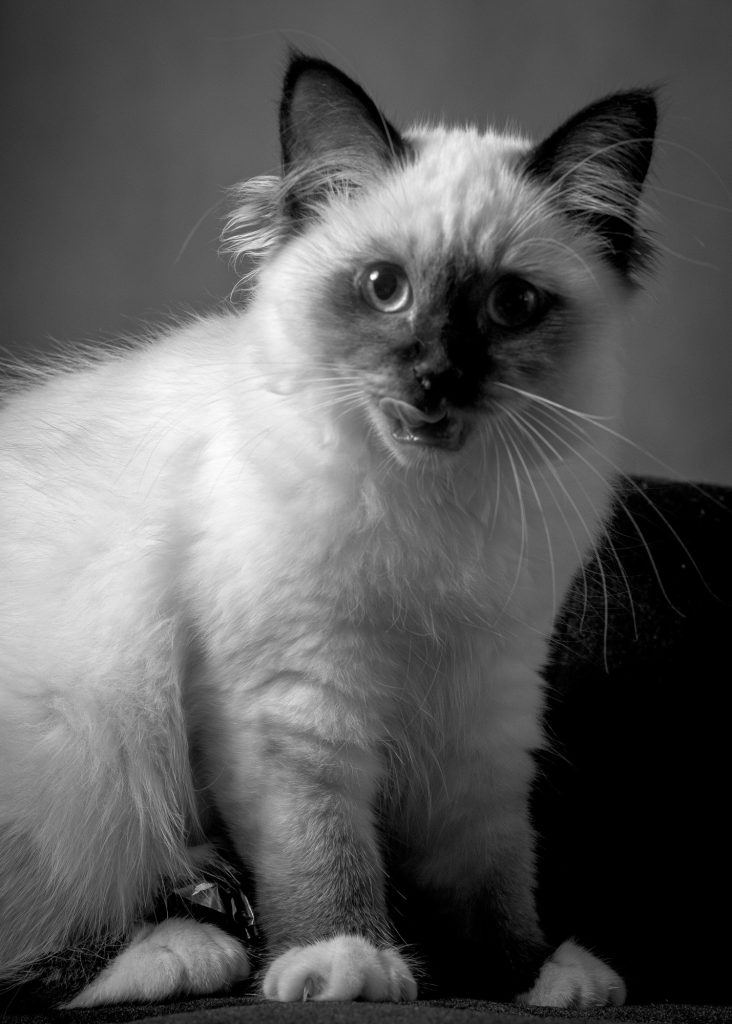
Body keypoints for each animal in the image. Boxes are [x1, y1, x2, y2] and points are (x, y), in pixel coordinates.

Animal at [0, 51, 659, 1003]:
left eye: (512, 305)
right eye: (386, 290)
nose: (435, 377)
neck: (432, 513)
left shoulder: (485, 712)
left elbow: (493, 880)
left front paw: (531, 978)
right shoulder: (296, 700)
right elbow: (322, 853)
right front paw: (342, 959)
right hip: (85, 739)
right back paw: (195, 953)